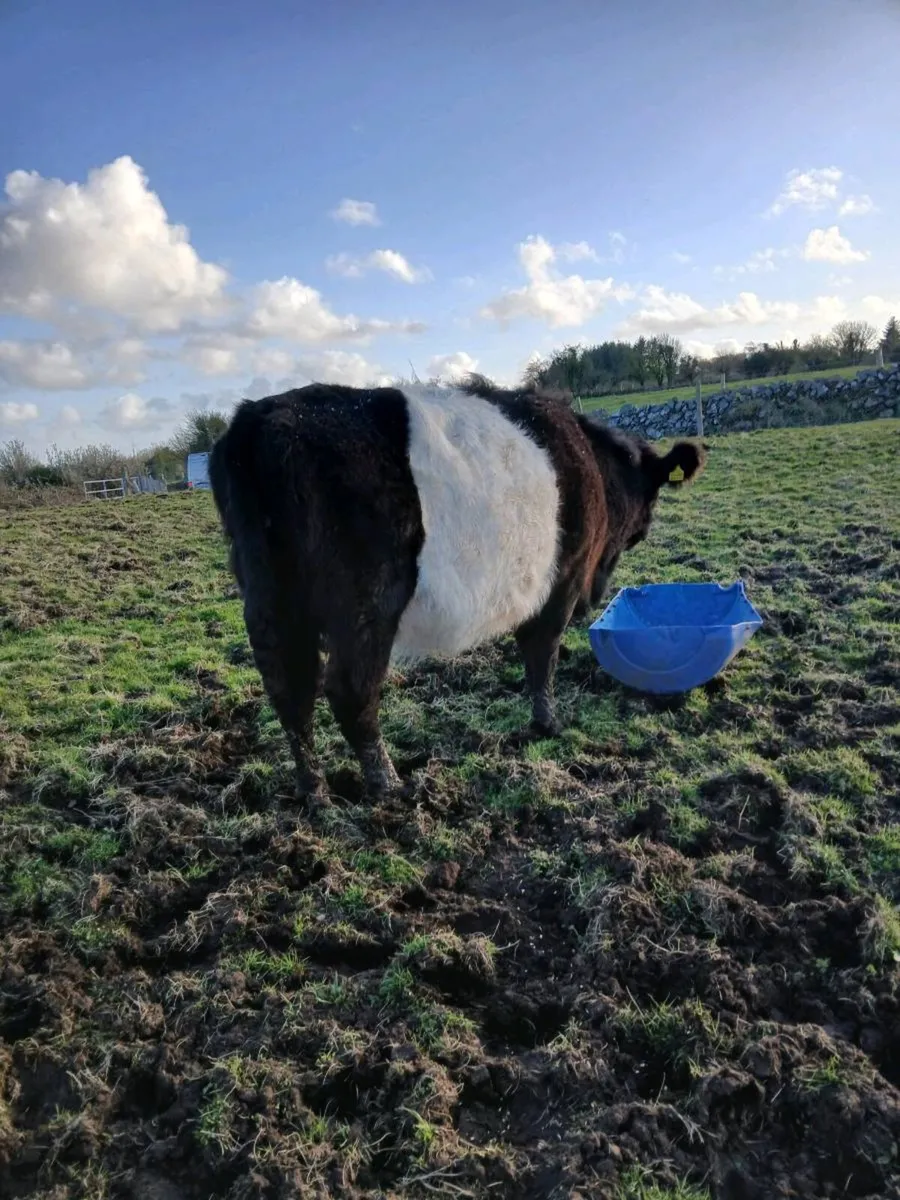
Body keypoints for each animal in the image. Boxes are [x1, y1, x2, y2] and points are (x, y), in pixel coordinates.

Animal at [208, 377, 705, 801]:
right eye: (643, 520)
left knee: (290, 692)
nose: (596, 597)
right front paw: (548, 723)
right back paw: (390, 784)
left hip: (269, 600)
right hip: (365, 605)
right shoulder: (560, 582)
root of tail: (259, 419)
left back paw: (314, 793)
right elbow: (542, 654)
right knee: (350, 690)